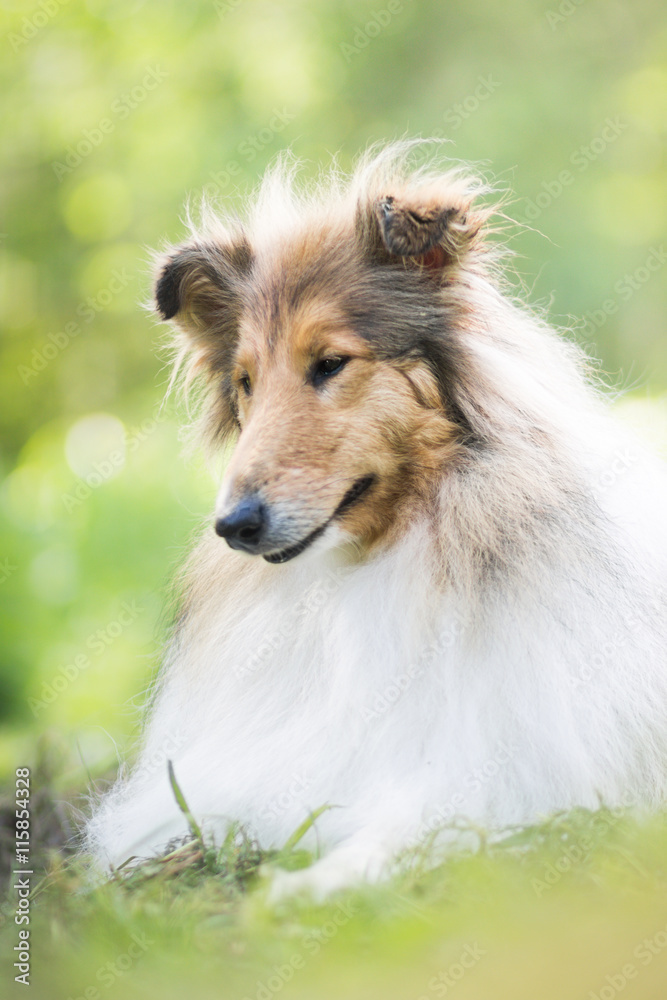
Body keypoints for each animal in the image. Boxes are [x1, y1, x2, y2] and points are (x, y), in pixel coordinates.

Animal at [86, 143, 667, 900]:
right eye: (245, 383)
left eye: (330, 363)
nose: (234, 526)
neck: (370, 568)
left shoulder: (509, 776)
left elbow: (420, 822)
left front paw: (309, 884)